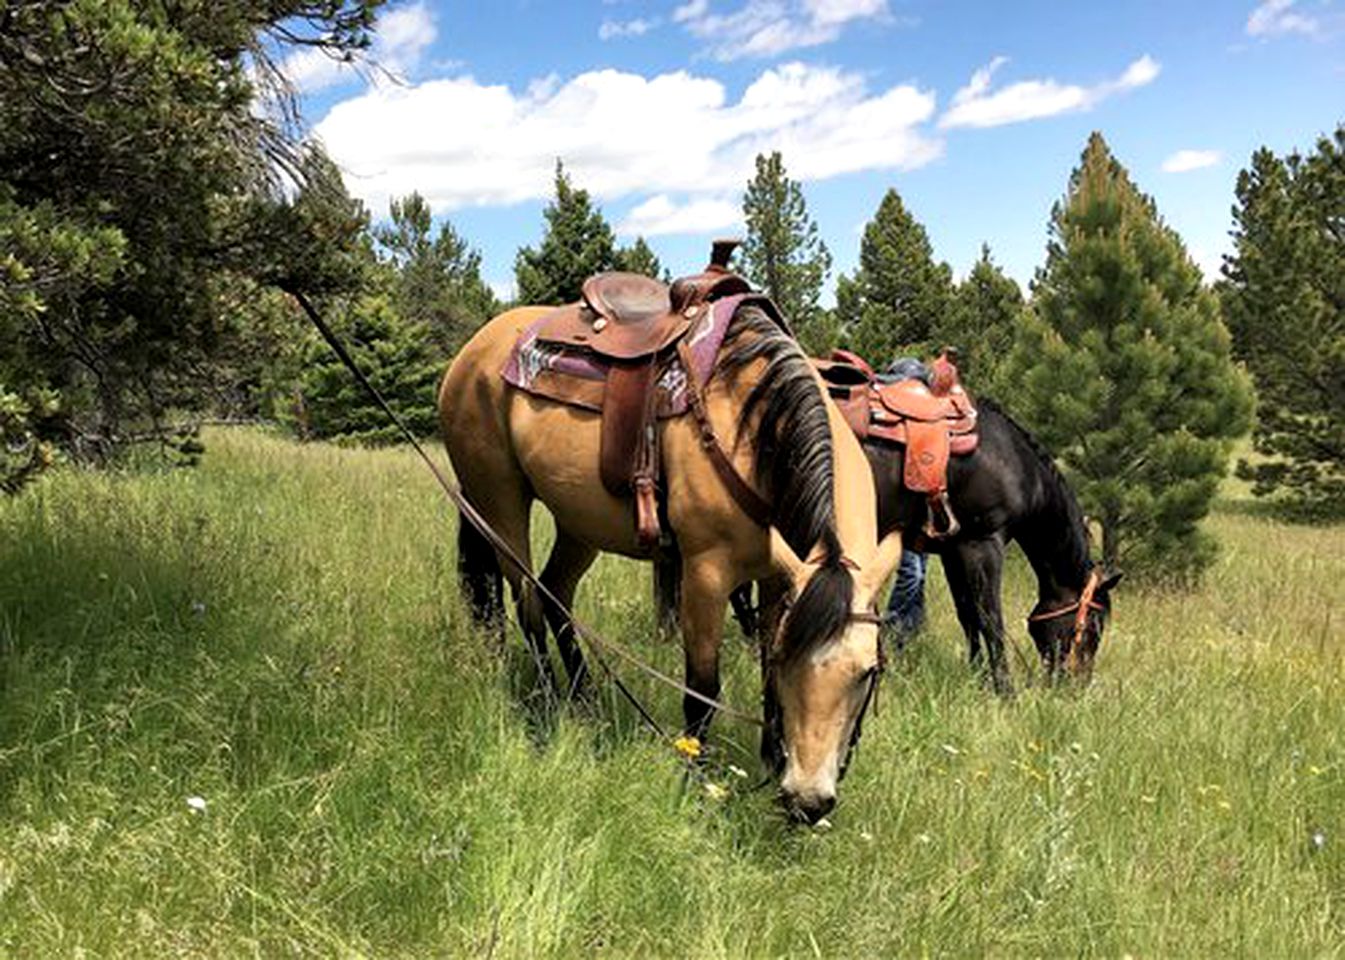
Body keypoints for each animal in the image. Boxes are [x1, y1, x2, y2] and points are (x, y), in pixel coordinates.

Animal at [441, 248, 903, 822]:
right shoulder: (706, 573)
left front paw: (770, 759)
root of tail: (473, 351)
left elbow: (764, 680)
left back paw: (586, 703)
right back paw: (549, 708)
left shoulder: (778, 578)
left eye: (867, 672)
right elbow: (702, 688)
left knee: (556, 595)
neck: (754, 433)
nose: (807, 802)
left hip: (579, 521)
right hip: (499, 501)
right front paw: (696, 781)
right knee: (527, 603)